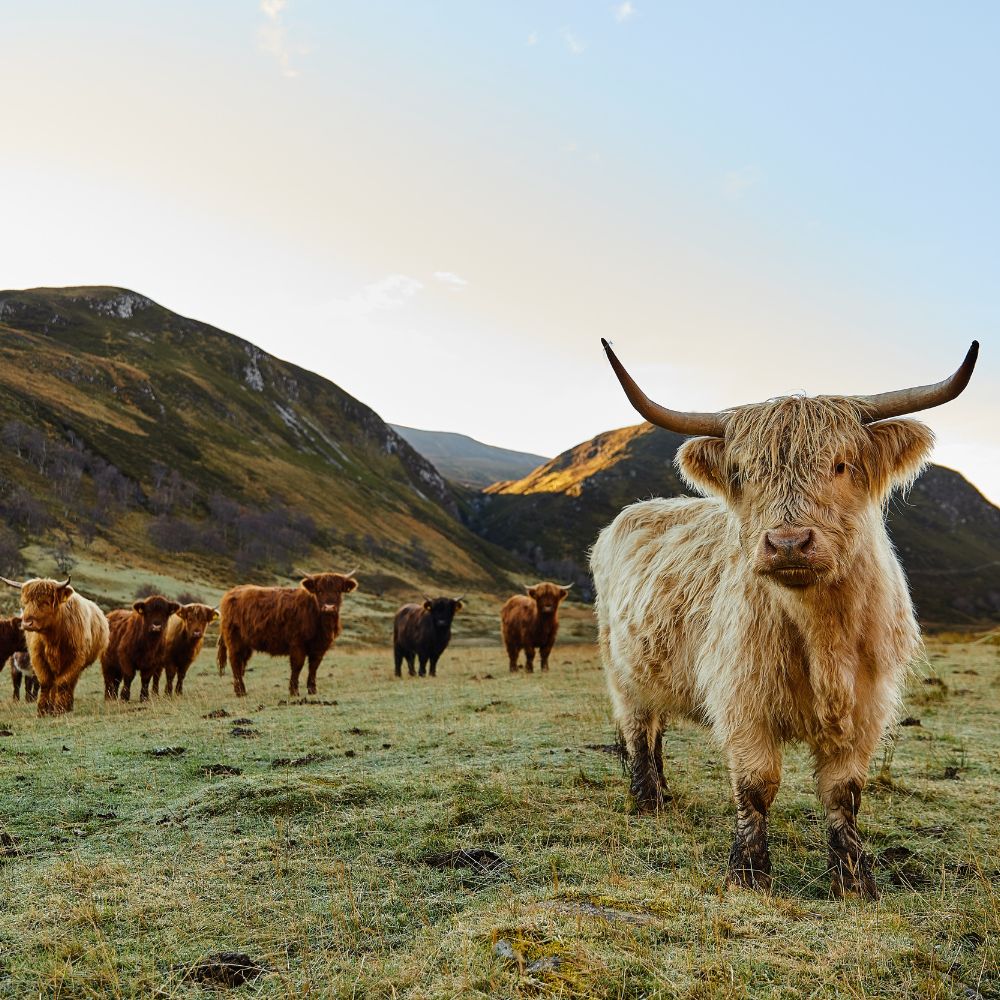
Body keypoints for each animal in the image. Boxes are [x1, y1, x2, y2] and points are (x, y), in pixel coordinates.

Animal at [0, 575, 110, 715]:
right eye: (26, 603)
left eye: (45, 602)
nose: (26, 623)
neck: (52, 638)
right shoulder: (38, 658)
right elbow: (46, 682)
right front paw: (43, 710)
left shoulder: (75, 659)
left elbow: (63, 683)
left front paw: (60, 709)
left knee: (69, 684)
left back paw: (67, 706)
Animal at [216, 571, 358, 697]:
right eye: (319, 590)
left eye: (338, 590)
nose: (329, 607)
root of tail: (231, 592)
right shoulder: (297, 643)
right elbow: (297, 665)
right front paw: (294, 691)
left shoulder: (320, 647)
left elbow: (314, 667)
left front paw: (312, 690)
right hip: (235, 640)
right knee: (235, 661)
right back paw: (241, 692)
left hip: (246, 644)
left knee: (241, 663)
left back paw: (240, 690)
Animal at [590, 338, 978, 899]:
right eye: (744, 474)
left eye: (841, 464)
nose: (789, 543)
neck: (821, 632)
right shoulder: (743, 698)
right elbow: (756, 785)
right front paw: (749, 872)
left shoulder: (867, 705)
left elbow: (844, 791)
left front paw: (853, 881)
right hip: (622, 670)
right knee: (639, 728)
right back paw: (647, 802)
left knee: (657, 728)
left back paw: (664, 793)